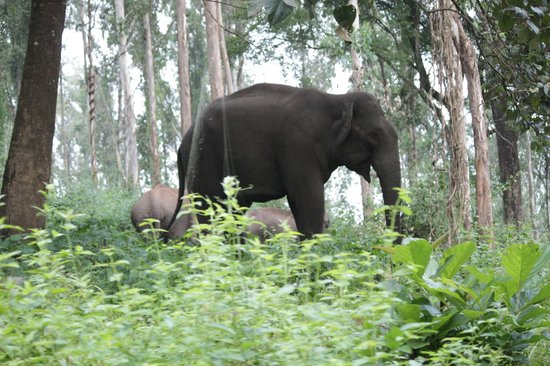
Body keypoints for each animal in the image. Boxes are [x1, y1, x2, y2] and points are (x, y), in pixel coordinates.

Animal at [166, 83, 404, 240]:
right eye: (374, 135)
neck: (338, 99)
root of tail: (181, 144)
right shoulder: (297, 147)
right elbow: (308, 198)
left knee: (233, 211)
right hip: (203, 162)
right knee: (211, 210)